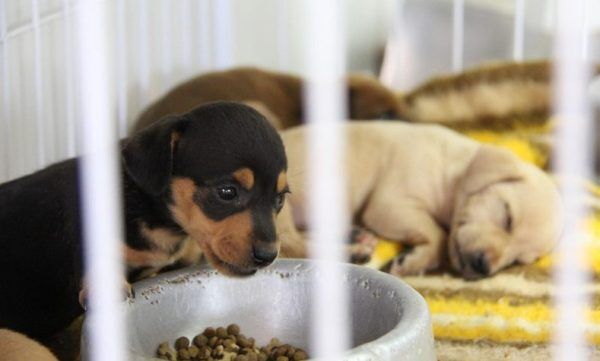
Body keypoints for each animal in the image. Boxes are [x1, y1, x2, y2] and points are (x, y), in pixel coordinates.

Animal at [278, 121, 564, 278]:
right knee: (292, 245)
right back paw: (353, 252)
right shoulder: (388, 206)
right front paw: (413, 262)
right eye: (508, 218)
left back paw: (355, 238)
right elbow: (438, 234)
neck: (453, 170)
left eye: (518, 261)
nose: (483, 268)